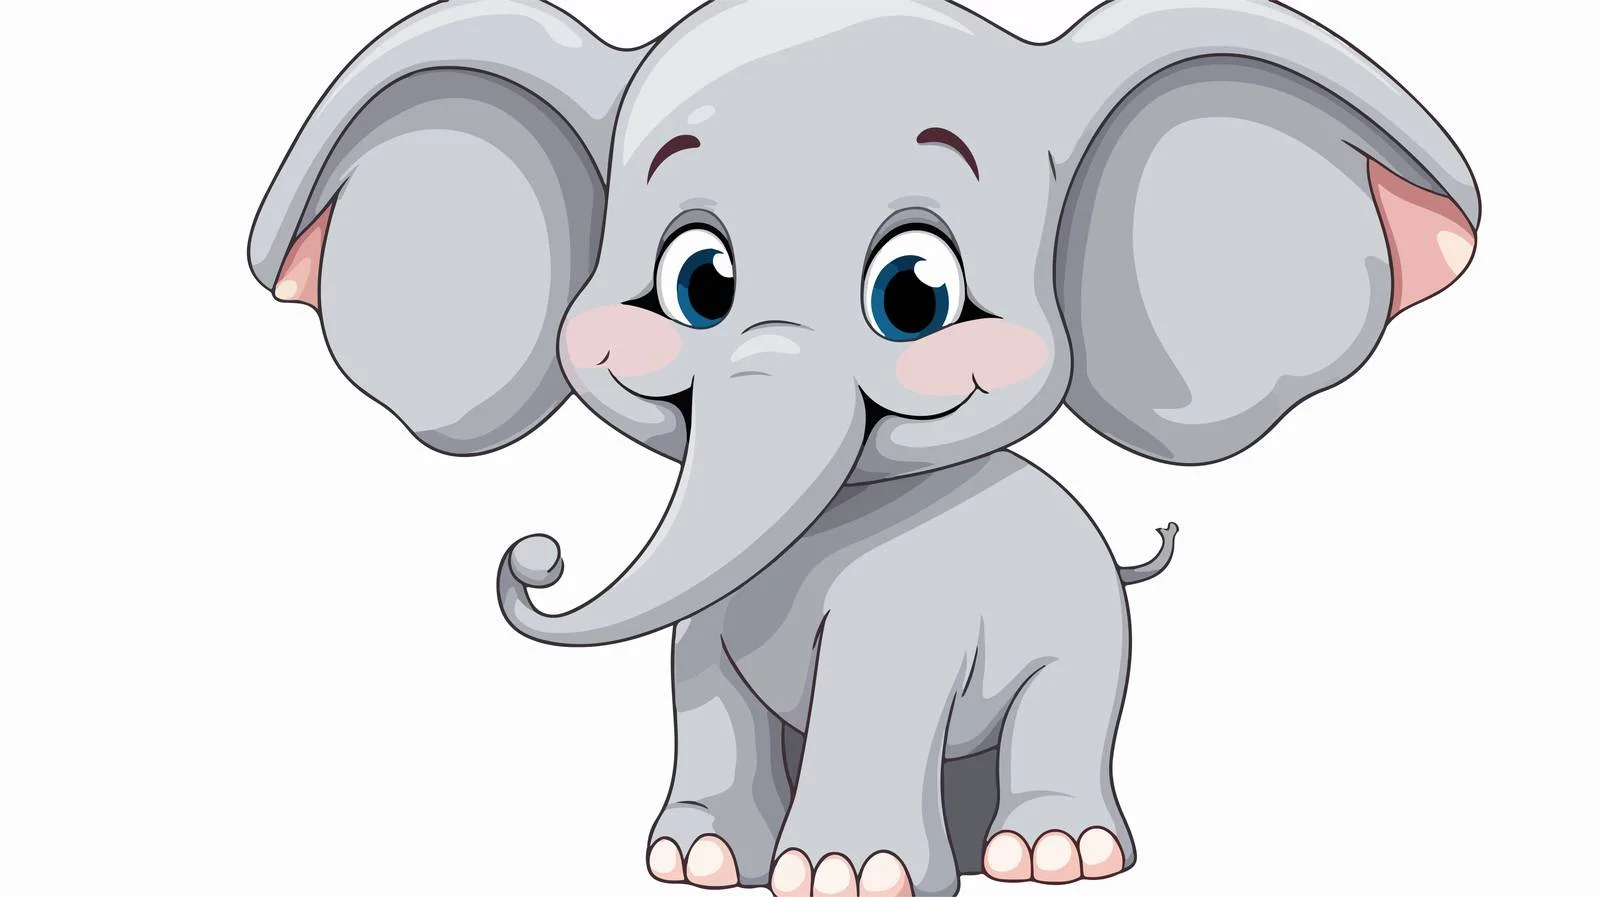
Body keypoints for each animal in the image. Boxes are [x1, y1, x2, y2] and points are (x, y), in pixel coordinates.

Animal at [246, 0, 1479, 893]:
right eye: (696, 281)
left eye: (914, 295)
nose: (533, 555)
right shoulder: (710, 619)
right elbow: (703, 683)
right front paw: (695, 865)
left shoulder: (918, 602)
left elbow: (879, 683)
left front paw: (846, 878)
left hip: (1092, 636)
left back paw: (1049, 858)